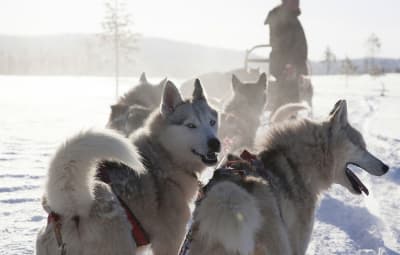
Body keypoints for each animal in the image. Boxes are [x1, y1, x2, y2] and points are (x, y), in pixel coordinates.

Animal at [36, 79, 220, 255]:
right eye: (191, 125)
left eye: (212, 122)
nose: (215, 143)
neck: (163, 155)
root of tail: (74, 207)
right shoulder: (169, 243)